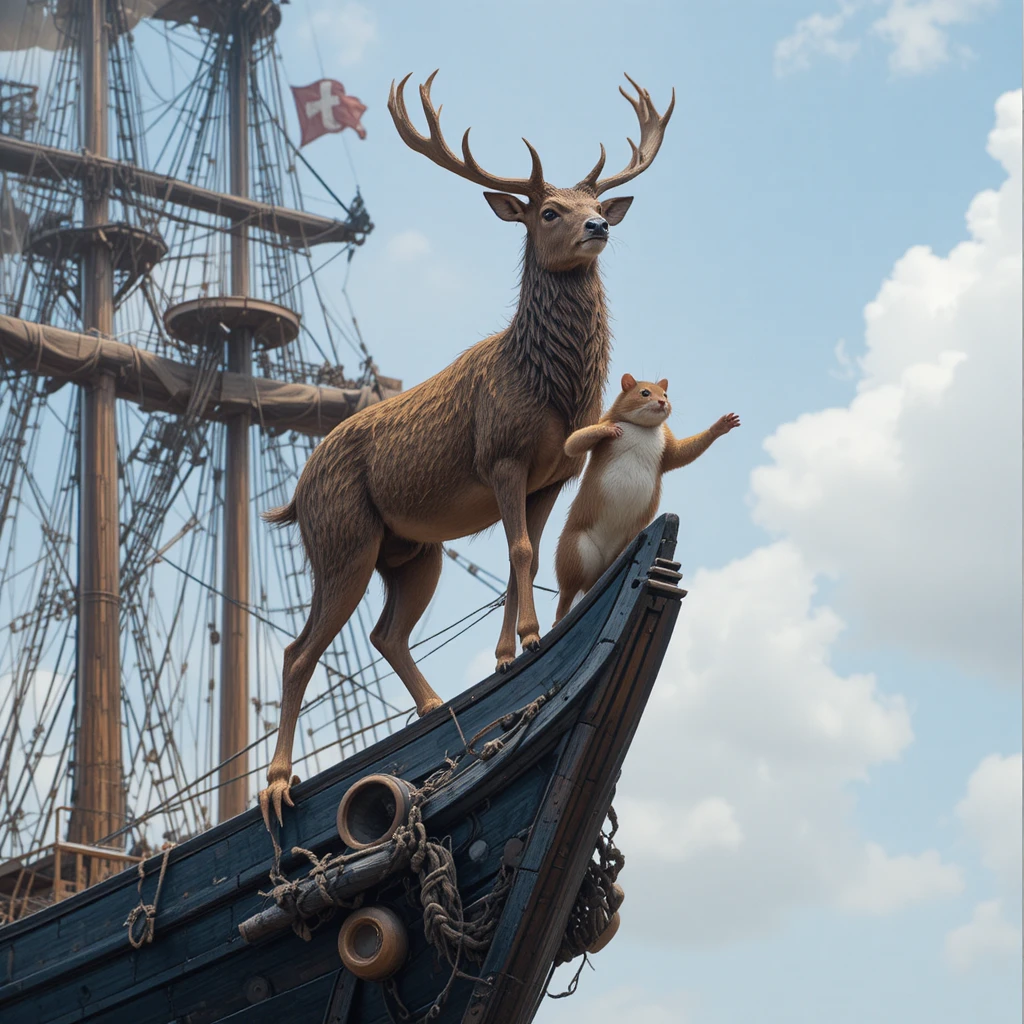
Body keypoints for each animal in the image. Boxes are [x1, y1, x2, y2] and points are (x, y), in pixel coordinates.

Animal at [258, 71, 674, 826]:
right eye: (548, 211)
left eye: (596, 203)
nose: (598, 227)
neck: (547, 384)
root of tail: (294, 497)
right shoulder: (500, 457)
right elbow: (521, 549)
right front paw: (533, 640)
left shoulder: (552, 476)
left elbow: (521, 554)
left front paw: (509, 655)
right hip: (341, 538)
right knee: (299, 650)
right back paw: (277, 788)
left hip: (412, 552)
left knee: (386, 632)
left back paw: (431, 708)